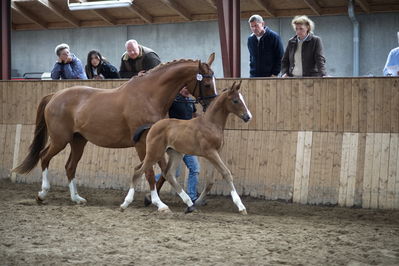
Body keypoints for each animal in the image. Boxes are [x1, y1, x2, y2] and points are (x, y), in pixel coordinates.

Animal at [121, 81, 253, 214]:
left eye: (242, 98)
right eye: (235, 100)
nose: (248, 117)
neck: (210, 124)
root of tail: (152, 126)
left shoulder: (214, 153)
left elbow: (210, 181)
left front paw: (198, 201)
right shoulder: (210, 153)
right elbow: (226, 173)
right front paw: (241, 206)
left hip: (174, 153)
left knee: (167, 174)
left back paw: (189, 204)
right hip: (155, 153)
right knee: (139, 171)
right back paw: (126, 204)